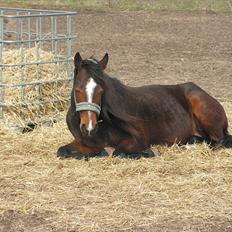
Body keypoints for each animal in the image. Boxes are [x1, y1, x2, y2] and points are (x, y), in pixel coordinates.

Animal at [56, 51, 232, 159]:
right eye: (78, 90)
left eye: (101, 90)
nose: (89, 128)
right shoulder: (84, 143)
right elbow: (62, 151)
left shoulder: (139, 139)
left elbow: (118, 151)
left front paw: (149, 152)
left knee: (218, 141)